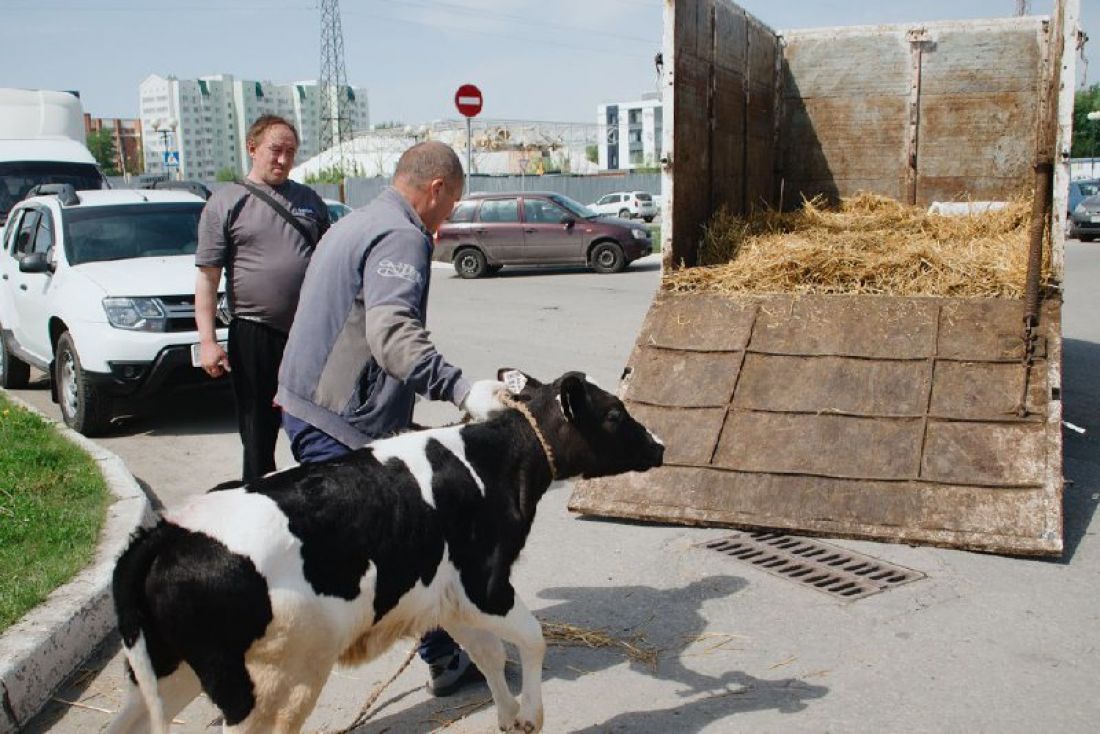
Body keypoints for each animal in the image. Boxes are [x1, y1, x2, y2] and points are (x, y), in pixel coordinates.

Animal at [109, 369, 660, 730]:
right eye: (614, 412)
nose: (659, 444)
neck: (493, 460)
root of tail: (165, 533)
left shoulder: (447, 596)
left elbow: (488, 653)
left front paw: (509, 717)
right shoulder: (486, 584)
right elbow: (532, 639)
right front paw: (531, 714)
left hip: (165, 670)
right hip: (268, 688)